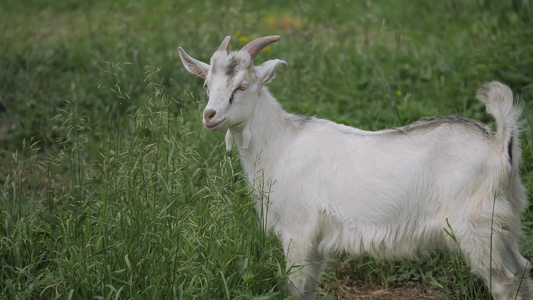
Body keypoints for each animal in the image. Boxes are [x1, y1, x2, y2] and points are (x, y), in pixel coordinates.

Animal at [180, 35, 532, 300]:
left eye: (242, 86)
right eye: (206, 85)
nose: (210, 115)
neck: (280, 143)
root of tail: (499, 144)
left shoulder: (297, 231)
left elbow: (295, 288)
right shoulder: (316, 241)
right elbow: (308, 289)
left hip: (475, 229)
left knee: (504, 284)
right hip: (503, 225)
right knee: (524, 272)